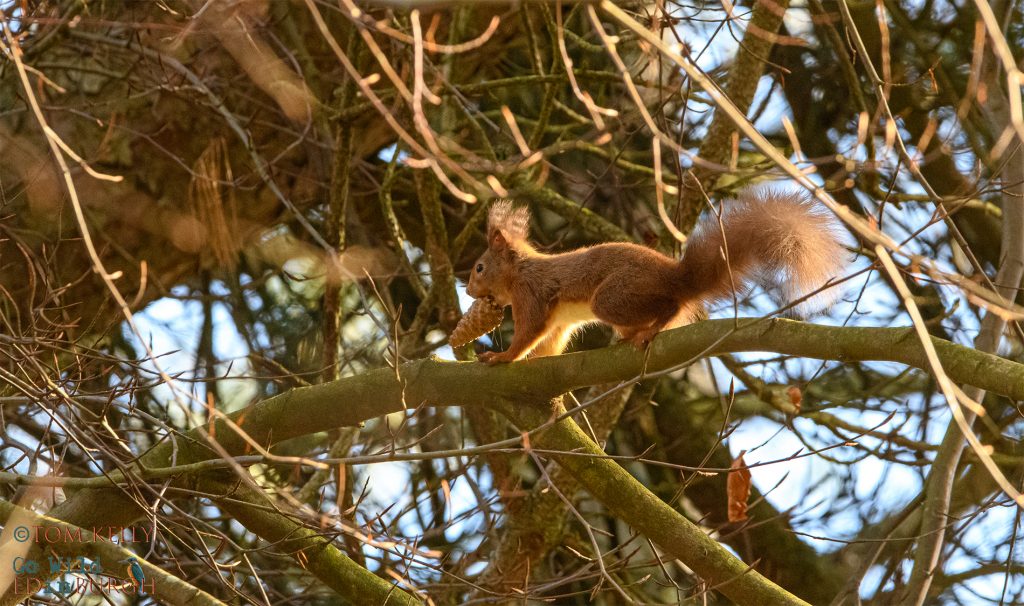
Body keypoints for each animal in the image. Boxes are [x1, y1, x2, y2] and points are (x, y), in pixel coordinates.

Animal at [465, 189, 848, 364]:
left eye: (479, 267)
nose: (467, 290)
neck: (520, 270)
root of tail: (676, 277)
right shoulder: (559, 322)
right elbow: (549, 343)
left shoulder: (530, 293)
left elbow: (528, 332)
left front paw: (501, 357)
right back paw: (629, 336)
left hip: (614, 297)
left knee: (668, 307)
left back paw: (649, 329)